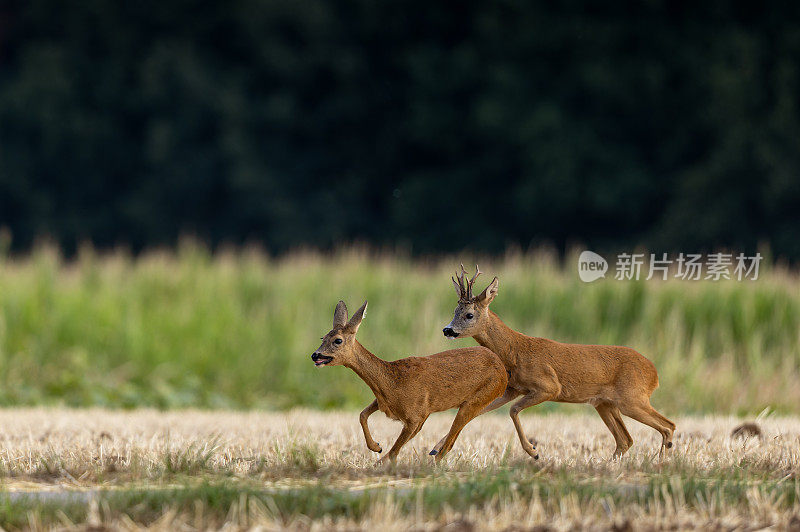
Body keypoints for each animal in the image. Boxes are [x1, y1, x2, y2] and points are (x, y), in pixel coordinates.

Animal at [312, 300, 506, 462]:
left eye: (338, 340)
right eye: (323, 338)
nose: (315, 355)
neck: (391, 381)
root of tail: (503, 370)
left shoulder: (416, 415)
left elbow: (394, 451)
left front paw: (379, 457)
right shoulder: (386, 404)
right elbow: (362, 415)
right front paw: (376, 447)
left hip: (478, 398)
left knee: (448, 443)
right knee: (450, 442)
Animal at [438, 266, 676, 458]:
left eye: (469, 314)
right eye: (454, 311)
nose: (447, 330)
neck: (514, 351)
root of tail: (654, 373)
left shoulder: (549, 386)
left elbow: (513, 410)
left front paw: (533, 451)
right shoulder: (512, 389)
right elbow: (476, 412)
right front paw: (438, 448)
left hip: (632, 397)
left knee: (668, 426)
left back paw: (660, 462)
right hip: (605, 403)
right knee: (625, 439)